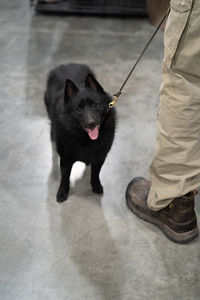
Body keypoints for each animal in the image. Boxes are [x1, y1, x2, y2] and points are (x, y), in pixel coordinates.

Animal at [43, 64, 115, 203]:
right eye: (79, 109)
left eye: (95, 105)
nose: (91, 123)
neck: (85, 139)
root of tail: (67, 64)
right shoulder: (66, 159)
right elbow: (64, 177)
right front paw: (62, 192)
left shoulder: (100, 156)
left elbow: (95, 173)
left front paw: (96, 185)